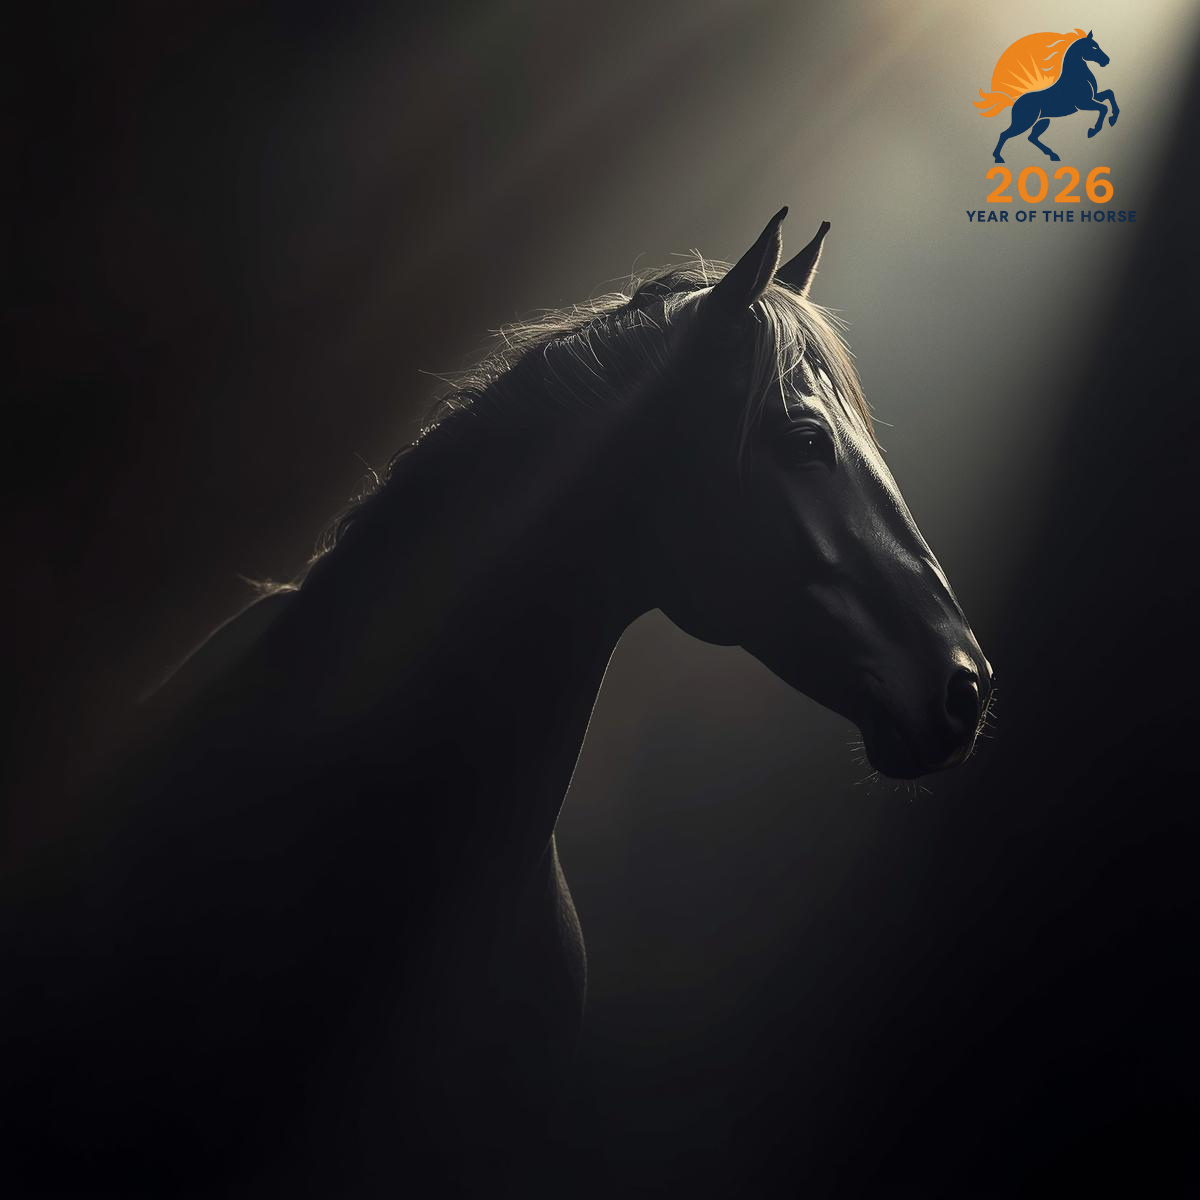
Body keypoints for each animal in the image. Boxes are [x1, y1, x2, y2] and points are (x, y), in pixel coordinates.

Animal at [992, 31, 1118, 164]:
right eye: (1093, 47)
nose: (1106, 60)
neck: (1076, 76)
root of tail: (1015, 103)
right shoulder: (1083, 103)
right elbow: (1104, 108)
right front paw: (1093, 131)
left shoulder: (1094, 97)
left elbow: (1109, 94)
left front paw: (1113, 118)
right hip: (1024, 122)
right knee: (1005, 134)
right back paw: (998, 157)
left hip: (1043, 121)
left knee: (1032, 137)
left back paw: (1053, 155)